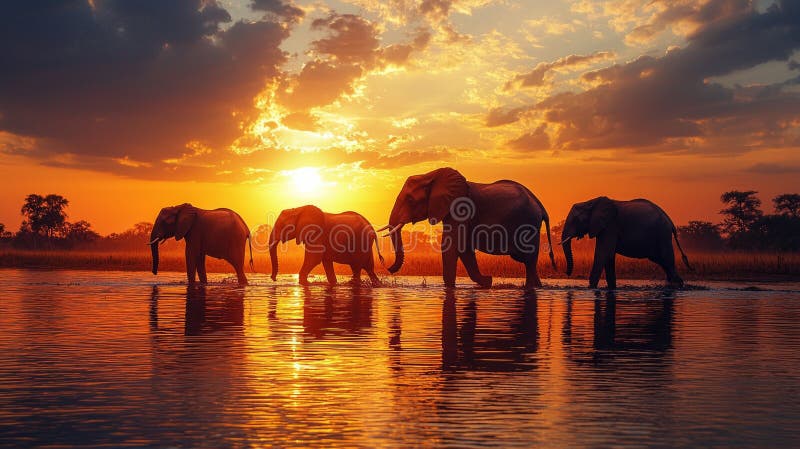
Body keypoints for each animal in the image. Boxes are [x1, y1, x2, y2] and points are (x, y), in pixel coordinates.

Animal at [384, 167, 555, 289]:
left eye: (410, 200)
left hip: (528, 225)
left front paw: (452, 287)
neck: (430, 175)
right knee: (527, 261)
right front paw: (487, 281)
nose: (387, 268)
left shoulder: (460, 208)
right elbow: (464, 248)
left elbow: (451, 246)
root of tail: (540, 206)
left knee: (529, 260)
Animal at [560, 196, 692, 289]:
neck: (590, 202)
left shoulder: (610, 227)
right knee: (664, 262)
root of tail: (670, 221)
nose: (567, 273)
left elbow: (602, 254)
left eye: (576, 220)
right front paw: (611, 289)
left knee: (667, 261)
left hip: (662, 235)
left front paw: (591, 289)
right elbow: (609, 256)